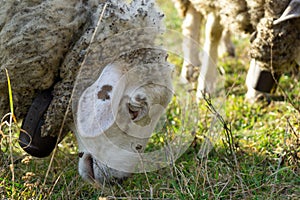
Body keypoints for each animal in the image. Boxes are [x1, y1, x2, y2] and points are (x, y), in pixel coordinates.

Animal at [171, 0, 300, 102]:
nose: (260, 98)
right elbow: (213, 32)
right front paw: (205, 87)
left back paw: (227, 48)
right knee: (191, 22)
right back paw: (189, 69)